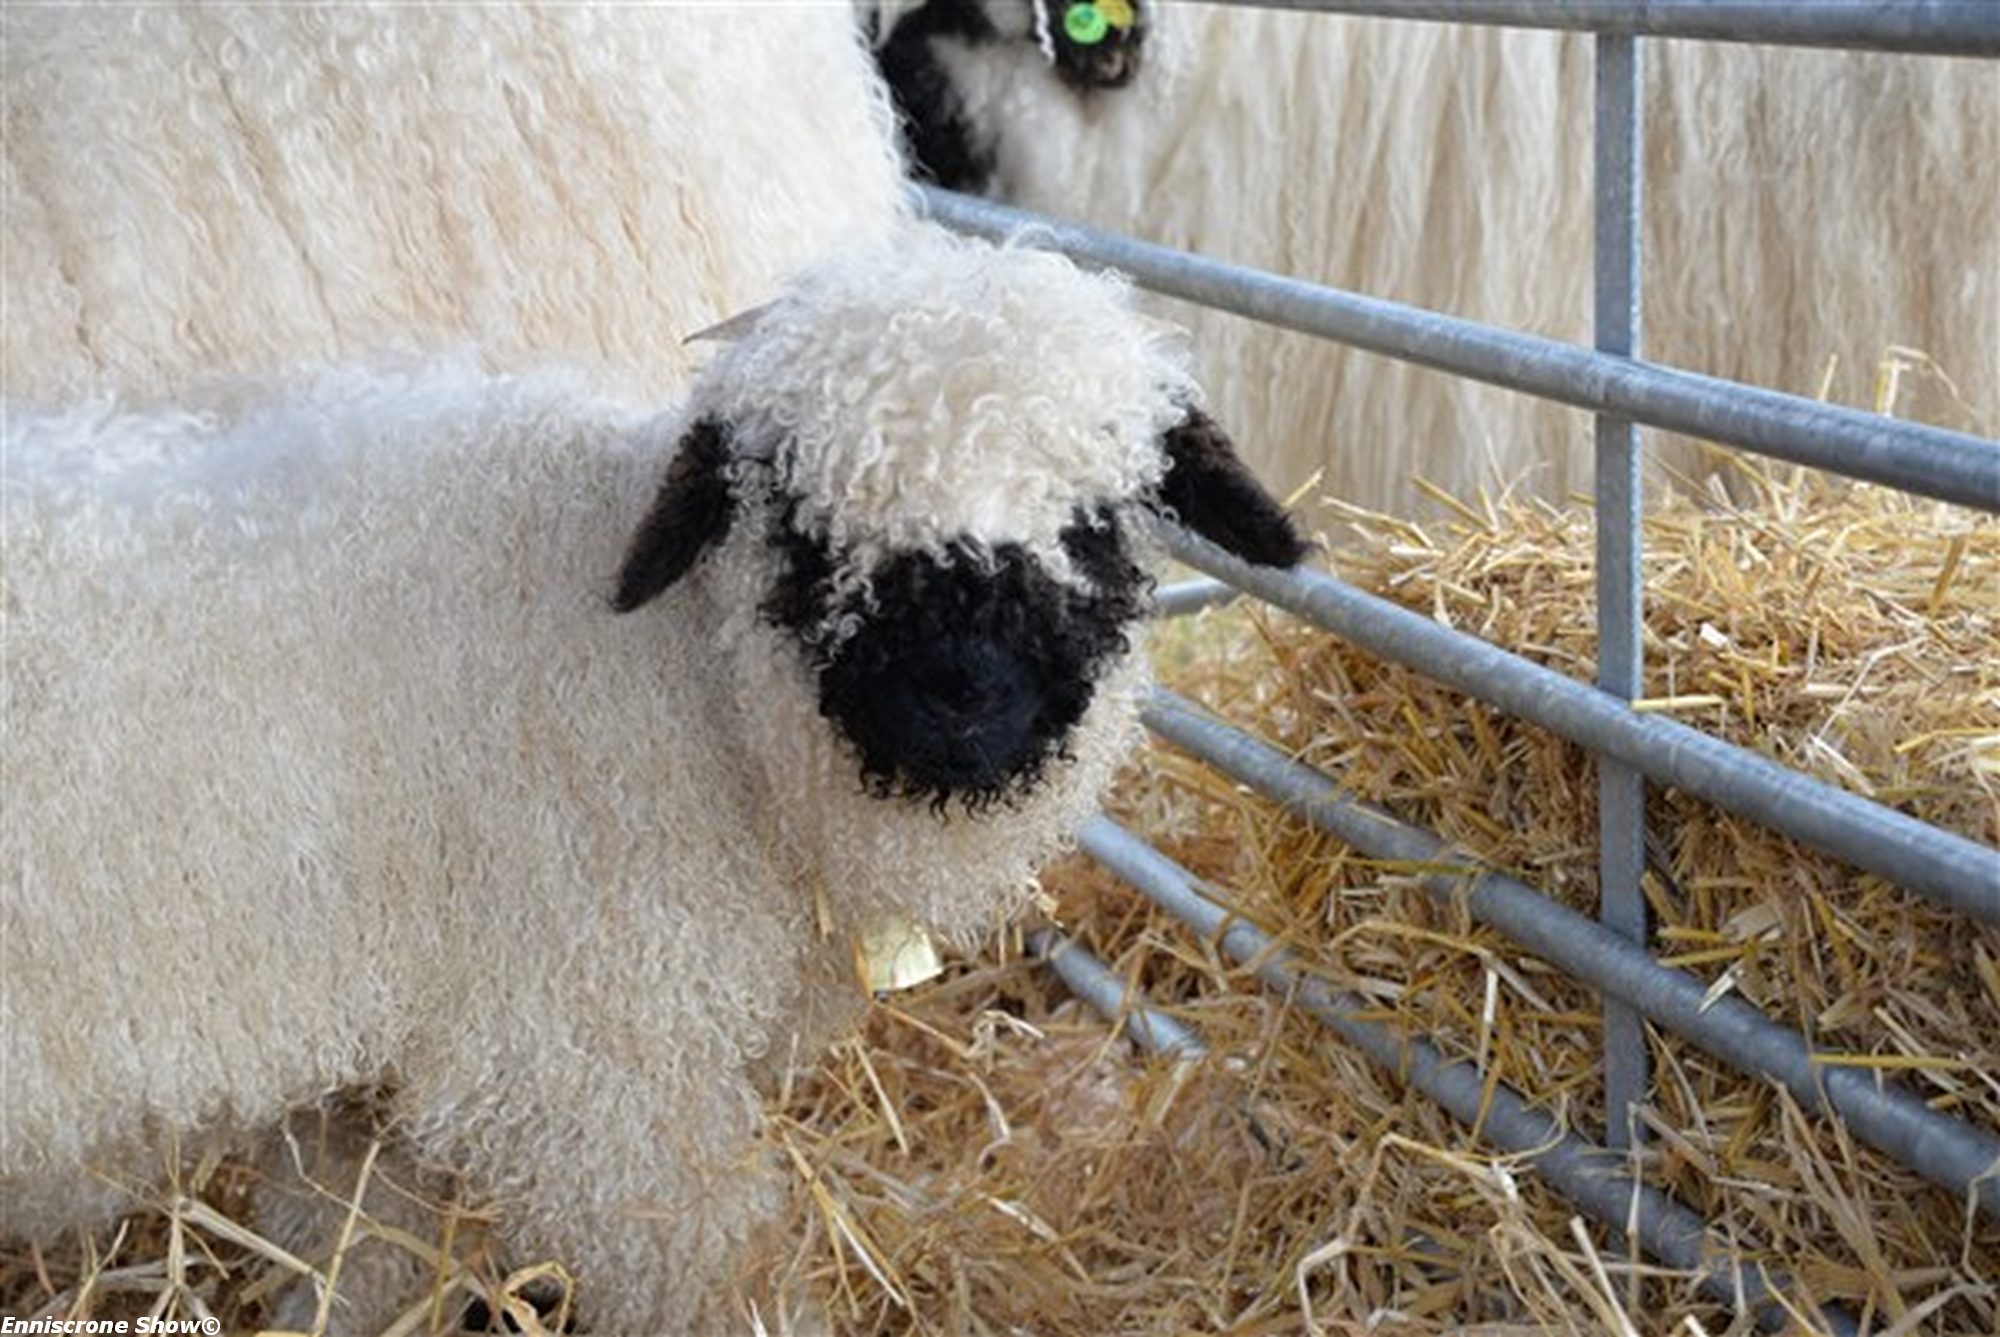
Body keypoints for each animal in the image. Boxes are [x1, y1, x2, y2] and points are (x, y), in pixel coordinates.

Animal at [0, 225, 1307, 1330]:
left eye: (1094, 526)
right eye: (800, 528)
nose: (961, 693)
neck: (692, 698)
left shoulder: (355, 1093)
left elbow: (358, 1261)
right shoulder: (591, 1062)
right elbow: (714, 1265)